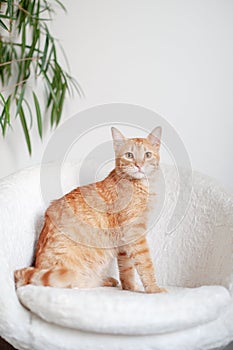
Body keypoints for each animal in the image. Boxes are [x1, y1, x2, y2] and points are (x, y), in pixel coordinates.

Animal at [14, 127, 167, 294]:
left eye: (148, 154)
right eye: (129, 155)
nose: (139, 165)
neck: (139, 185)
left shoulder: (124, 242)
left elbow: (126, 269)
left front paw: (129, 287)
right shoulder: (135, 234)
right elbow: (145, 264)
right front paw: (154, 288)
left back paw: (108, 280)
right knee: (76, 283)